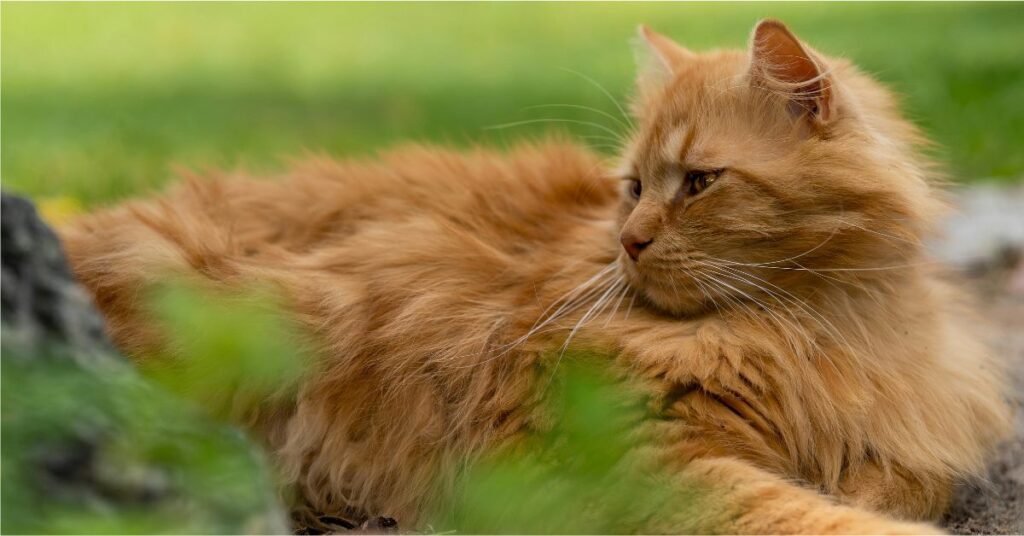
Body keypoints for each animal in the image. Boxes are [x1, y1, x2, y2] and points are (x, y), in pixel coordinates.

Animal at [61, 19, 1007, 532]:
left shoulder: (910, 430)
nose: (629, 241)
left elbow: (896, 481)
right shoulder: (629, 459)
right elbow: (809, 515)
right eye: (631, 187)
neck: (816, 323)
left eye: (698, 183)